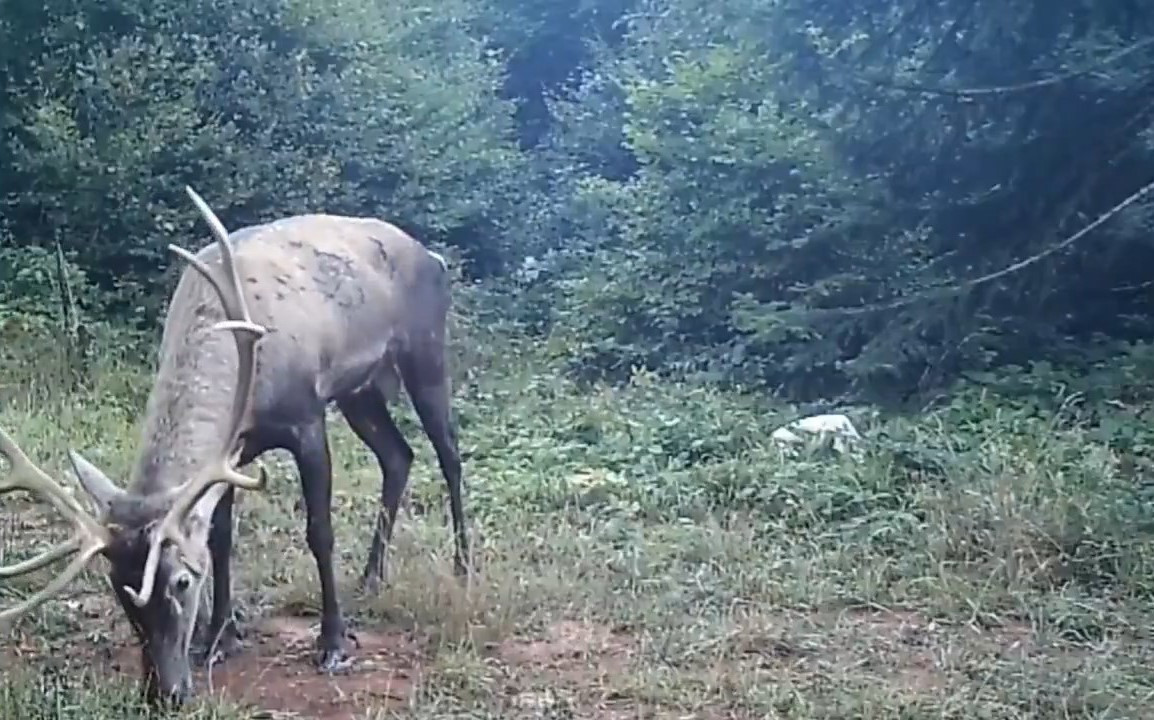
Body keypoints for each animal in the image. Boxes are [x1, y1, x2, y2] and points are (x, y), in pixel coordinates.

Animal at [1, 188, 468, 706]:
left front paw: (333, 644)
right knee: (398, 456)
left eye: (182, 581)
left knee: (449, 454)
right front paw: (220, 637)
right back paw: (371, 576)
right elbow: (221, 536)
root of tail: (432, 257)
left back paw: (462, 566)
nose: (163, 692)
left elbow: (319, 532)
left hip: (425, 350)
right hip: (359, 392)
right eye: (117, 587)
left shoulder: (306, 418)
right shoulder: (232, 452)